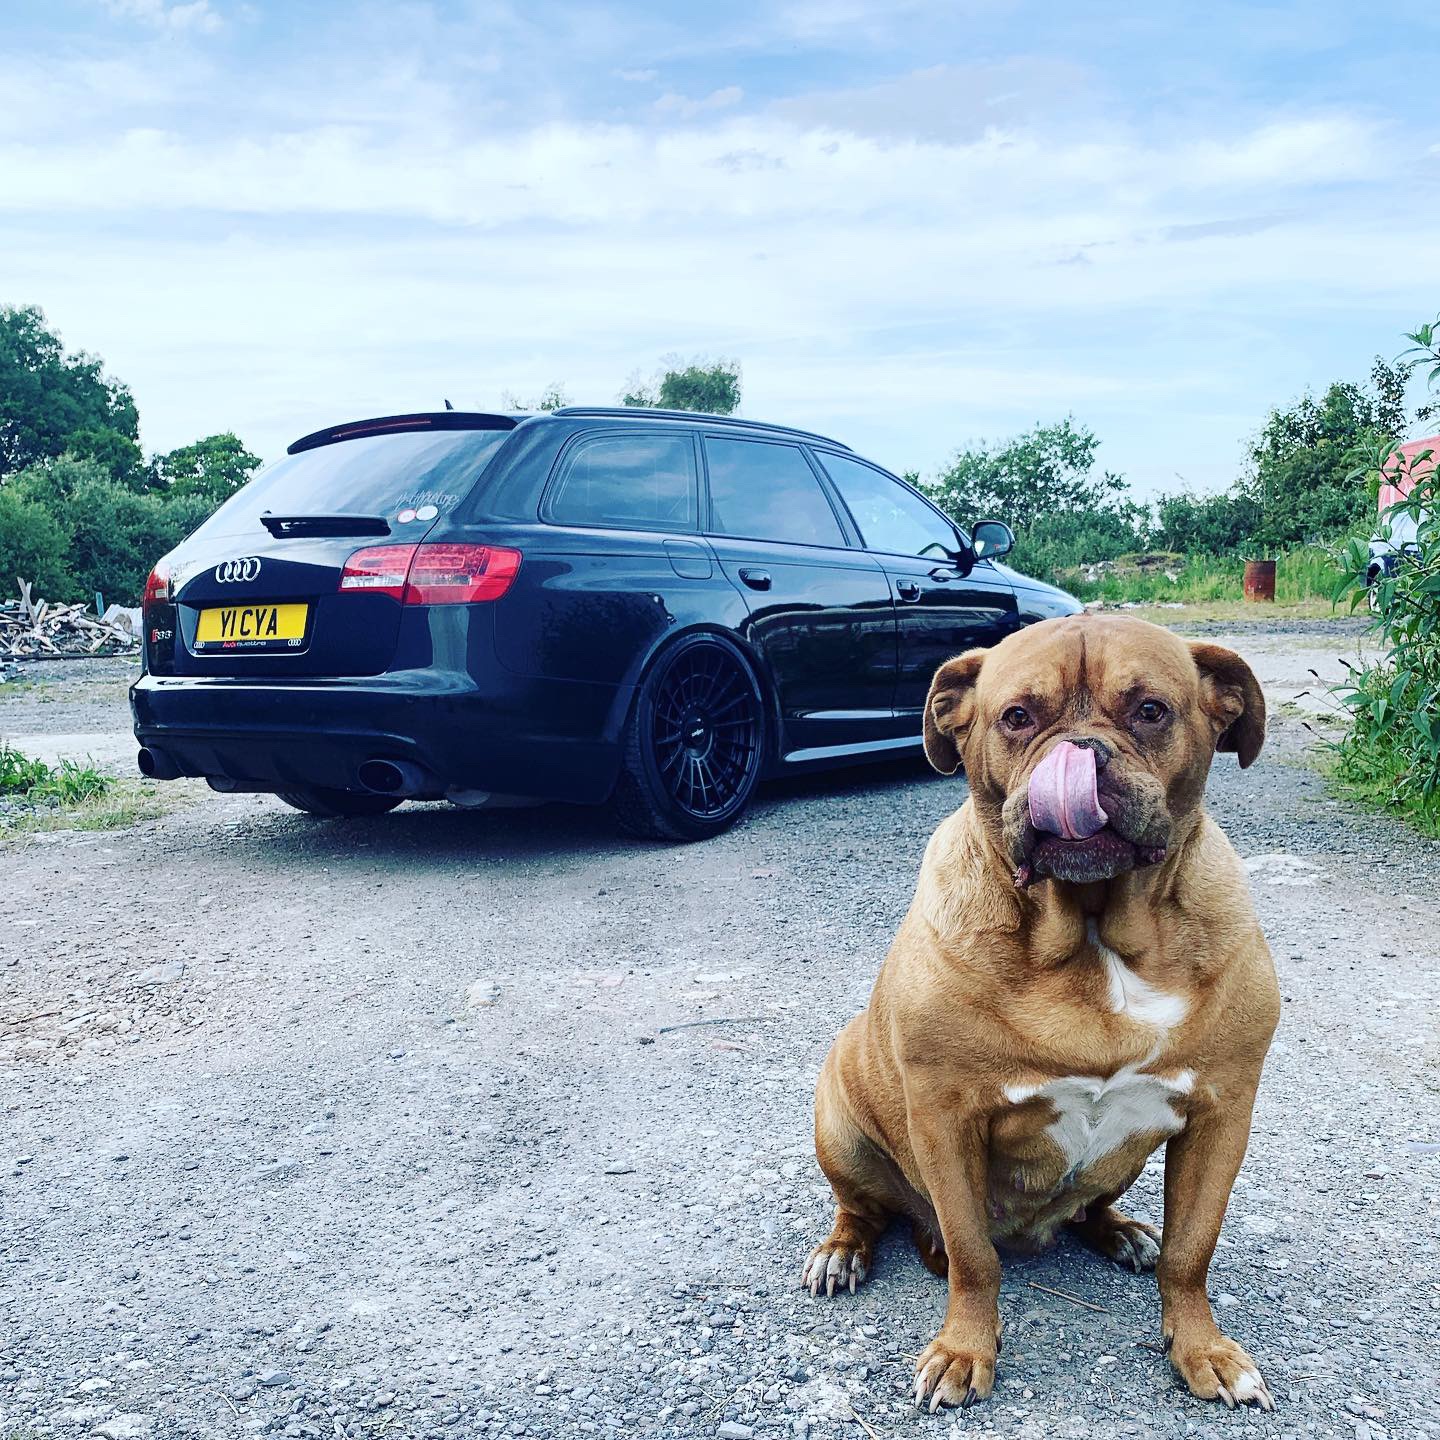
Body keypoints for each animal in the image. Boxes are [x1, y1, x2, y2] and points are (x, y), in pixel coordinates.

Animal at [804, 613, 1280, 1412]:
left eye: (1151, 710)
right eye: (1017, 717)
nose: (1079, 753)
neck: (1092, 934)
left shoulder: (1222, 1115)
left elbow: (1191, 1251)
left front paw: (1203, 1349)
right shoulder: (946, 1120)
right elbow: (972, 1255)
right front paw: (964, 1352)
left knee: (1095, 1209)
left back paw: (1120, 1232)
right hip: (839, 1121)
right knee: (866, 1209)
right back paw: (842, 1253)